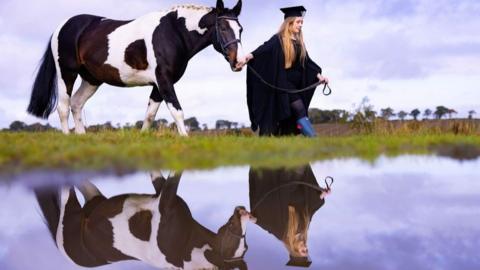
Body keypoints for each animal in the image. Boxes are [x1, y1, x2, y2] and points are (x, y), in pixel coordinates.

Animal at [27, 0, 244, 135]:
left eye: (240, 29)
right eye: (223, 27)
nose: (240, 61)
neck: (173, 32)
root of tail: (63, 26)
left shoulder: (158, 85)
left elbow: (149, 115)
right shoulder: (164, 80)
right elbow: (177, 111)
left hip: (91, 79)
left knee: (77, 104)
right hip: (67, 73)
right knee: (63, 107)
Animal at [34, 172, 256, 268]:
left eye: (243, 245)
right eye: (232, 227)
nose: (243, 211)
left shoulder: (165, 201)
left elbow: (174, 178)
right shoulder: (162, 195)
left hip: (74, 209)